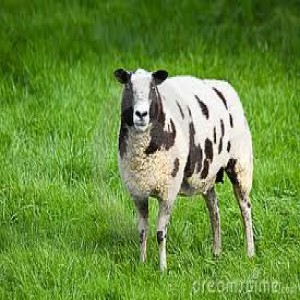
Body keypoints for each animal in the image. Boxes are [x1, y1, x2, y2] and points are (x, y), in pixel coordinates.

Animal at [113, 68, 254, 272]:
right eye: (128, 86)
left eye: (153, 87)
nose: (141, 114)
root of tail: (227, 87)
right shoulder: (138, 192)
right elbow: (142, 231)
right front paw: (142, 263)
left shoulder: (168, 191)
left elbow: (160, 233)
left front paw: (162, 269)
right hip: (207, 174)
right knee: (214, 210)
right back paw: (216, 252)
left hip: (241, 164)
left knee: (245, 208)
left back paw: (250, 252)